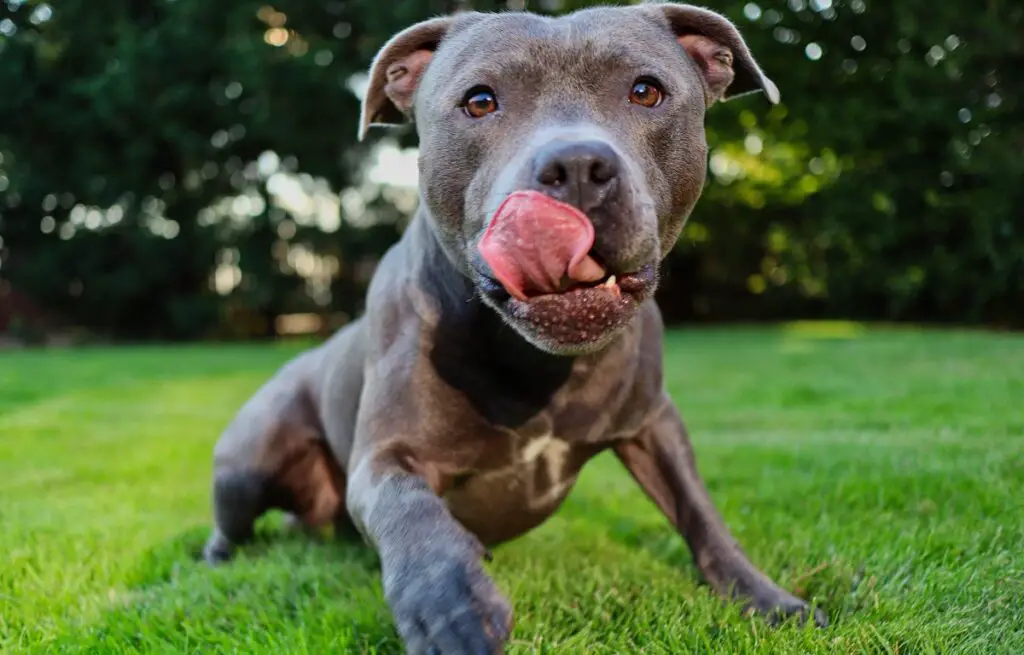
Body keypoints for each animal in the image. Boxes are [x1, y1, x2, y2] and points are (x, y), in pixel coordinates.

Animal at [203, 2, 827, 650]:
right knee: (232, 522)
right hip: (248, 461)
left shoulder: (653, 422)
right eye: (479, 101)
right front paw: (449, 607)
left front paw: (765, 598)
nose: (576, 165)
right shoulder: (385, 455)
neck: (540, 363)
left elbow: (698, 511)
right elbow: (412, 511)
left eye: (646, 91)